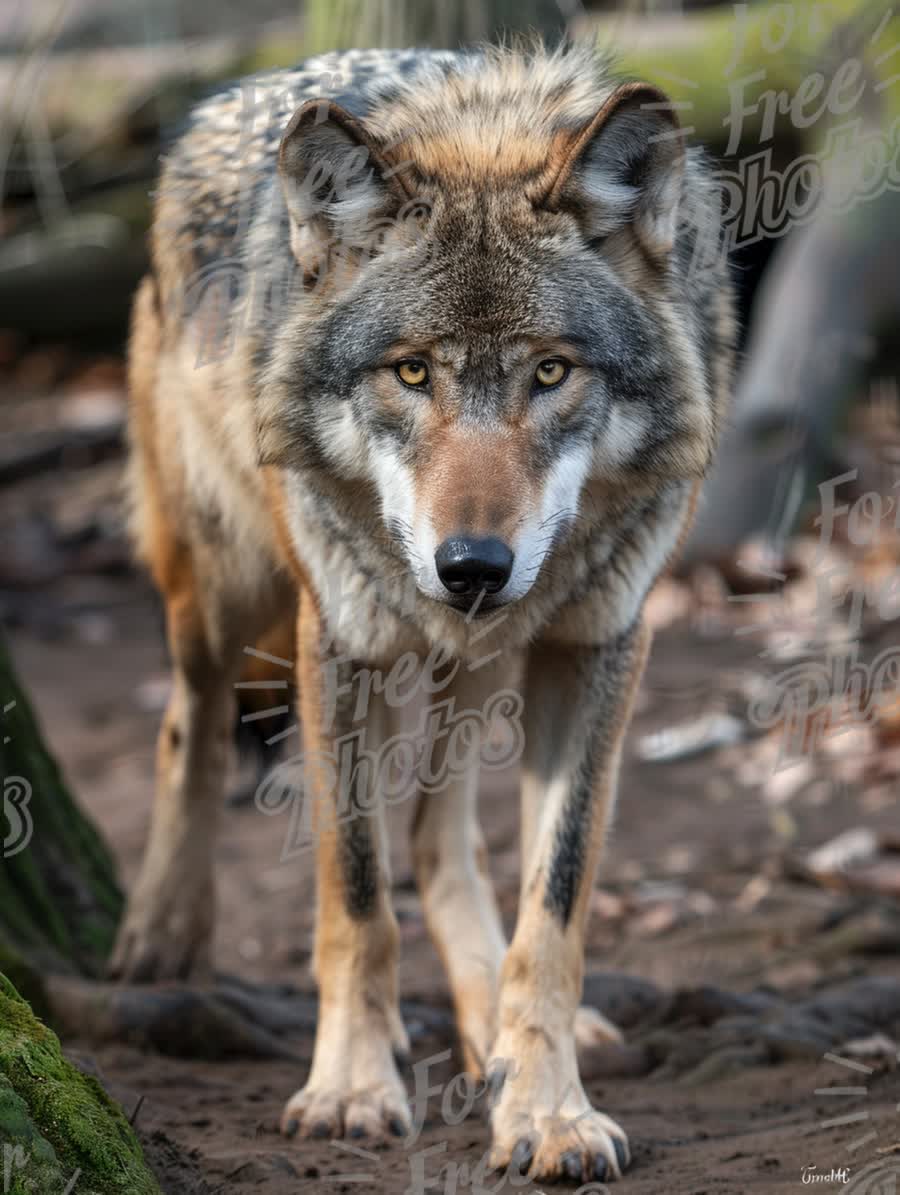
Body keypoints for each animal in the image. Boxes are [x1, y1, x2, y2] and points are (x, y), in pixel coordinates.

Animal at [112, 44, 731, 1185]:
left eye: (550, 370)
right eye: (411, 369)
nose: (472, 566)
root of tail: (216, 107)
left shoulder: (597, 647)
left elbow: (552, 910)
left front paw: (547, 1107)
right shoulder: (341, 643)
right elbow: (358, 899)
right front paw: (352, 1090)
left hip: (477, 654)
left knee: (444, 842)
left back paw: (487, 1019)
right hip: (224, 584)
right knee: (191, 721)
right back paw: (161, 933)